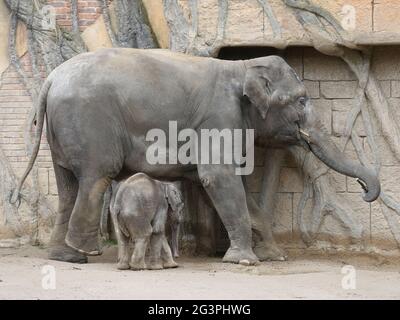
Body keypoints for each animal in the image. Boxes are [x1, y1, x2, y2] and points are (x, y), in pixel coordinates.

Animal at [13, 48, 382, 264]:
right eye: (302, 100)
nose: (366, 191)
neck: (242, 67)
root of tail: (50, 79)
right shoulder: (220, 117)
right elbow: (218, 178)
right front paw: (244, 262)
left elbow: (230, 187)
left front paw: (275, 257)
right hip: (90, 122)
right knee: (96, 176)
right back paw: (86, 252)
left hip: (62, 130)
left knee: (68, 186)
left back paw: (65, 257)